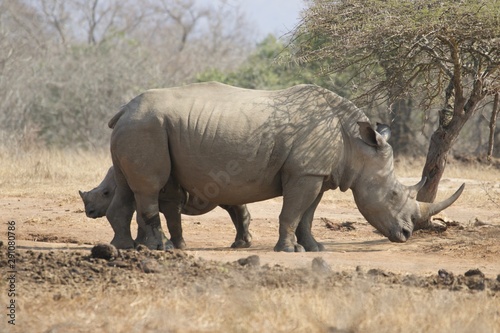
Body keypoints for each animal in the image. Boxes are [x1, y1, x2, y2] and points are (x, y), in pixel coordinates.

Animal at [79, 166, 252, 249]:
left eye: (106, 193)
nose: (89, 212)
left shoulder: (171, 197)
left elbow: (159, 219)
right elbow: (142, 218)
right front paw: (141, 244)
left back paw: (240, 244)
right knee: (230, 204)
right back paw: (243, 243)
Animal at [106, 81, 464, 250]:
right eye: (392, 195)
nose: (406, 234)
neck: (356, 145)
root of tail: (123, 109)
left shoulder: (317, 174)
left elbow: (307, 214)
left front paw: (315, 248)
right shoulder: (304, 173)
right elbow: (292, 212)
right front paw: (289, 251)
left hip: (138, 127)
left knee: (126, 186)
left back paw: (126, 247)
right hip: (146, 127)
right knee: (150, 188)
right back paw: (160, 248)